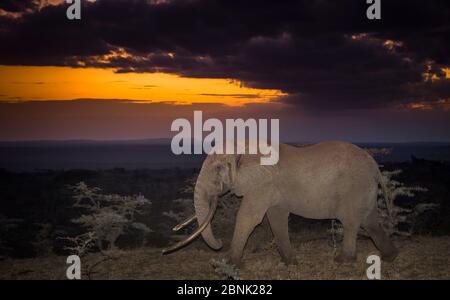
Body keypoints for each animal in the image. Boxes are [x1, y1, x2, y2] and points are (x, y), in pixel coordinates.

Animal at [163, 141, 400, 264]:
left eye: (219, 169)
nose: (220, 243)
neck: (245, 148)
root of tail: (374, 165)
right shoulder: (272, 189)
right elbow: (275, 218)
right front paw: (290, 262)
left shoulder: (262, 183)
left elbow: (249, 217)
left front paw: (228, 263)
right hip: (364, 189)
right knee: (370, 221)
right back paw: (390, 256)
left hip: (354, 187)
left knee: (351, 222)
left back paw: (343, 261)